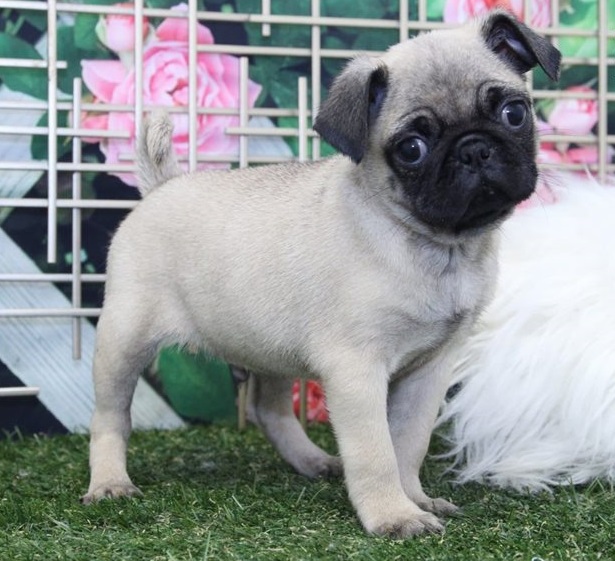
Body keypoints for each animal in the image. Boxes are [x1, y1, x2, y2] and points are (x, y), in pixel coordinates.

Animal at [83, 12, 564, 540]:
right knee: (110, 418)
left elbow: (408, 443)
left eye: (514, 114)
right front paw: (393, 515)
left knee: (268, 409)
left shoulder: (429, 373)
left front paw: (415, 498)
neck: (440, 247)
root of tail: (162, 186)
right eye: (411, 148)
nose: (474, 149)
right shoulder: (357, 372)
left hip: (267, 345)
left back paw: (311, 461)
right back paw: (109, 482)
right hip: (123, 340)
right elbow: (376, 452)